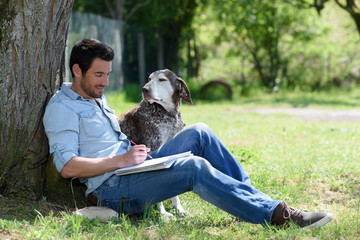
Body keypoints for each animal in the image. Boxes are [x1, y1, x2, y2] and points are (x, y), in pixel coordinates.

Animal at [118, 69, 193, 218]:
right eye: (149, 79)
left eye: (162, 80)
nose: (144, 89)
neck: (168, 114)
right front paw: (162, 213)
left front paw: (178, 209)